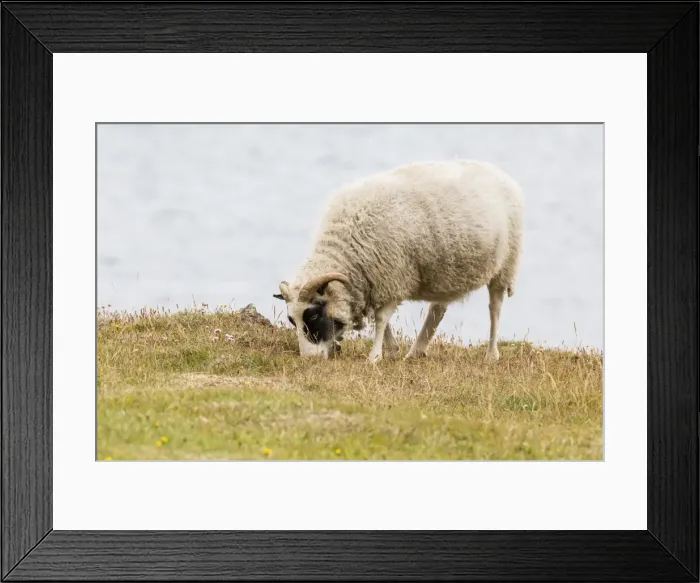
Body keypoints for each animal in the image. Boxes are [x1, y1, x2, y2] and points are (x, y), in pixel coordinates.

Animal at [273, 159, 524, 363]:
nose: (309, 359)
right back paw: (415, 352)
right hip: (446, 271)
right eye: (291, 320)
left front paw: (374, 357)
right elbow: (380, 318)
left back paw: (491, 355)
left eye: (313, 315)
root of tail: (499, 173)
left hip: (505, 264)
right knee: (438, 308)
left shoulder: (392, 274)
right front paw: (392, 351)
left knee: (495, 308)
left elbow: (381, 318)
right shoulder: (376, 280)